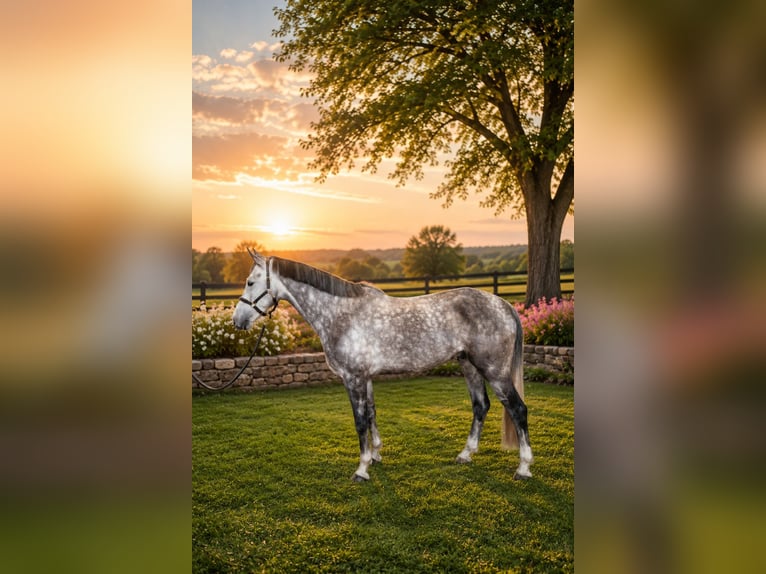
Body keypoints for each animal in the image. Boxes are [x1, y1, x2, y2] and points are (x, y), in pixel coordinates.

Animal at [232, 249, 533, 483]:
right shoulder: (366, 378)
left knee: (518, 409)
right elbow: (372, 414)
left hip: (494, 371)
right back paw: (465, 455)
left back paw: (523, 468)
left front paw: (362, 469)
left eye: (250, 282)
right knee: (481, 406)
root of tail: (504, 304)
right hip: (469, 366)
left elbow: (359, 421)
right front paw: (376, 455)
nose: (237, 320)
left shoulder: (353, 378)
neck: (341, 313)